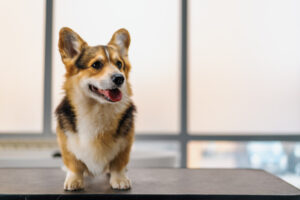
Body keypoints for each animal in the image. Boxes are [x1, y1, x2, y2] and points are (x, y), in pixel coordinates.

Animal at [55, 27, 136, 191]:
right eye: (96, 65)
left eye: (119, 64)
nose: (120, 78)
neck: (97, 108)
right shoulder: (66, 142)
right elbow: (74, 164)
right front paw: (74, 180)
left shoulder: (125, 143)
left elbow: (118, 164)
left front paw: (120, 180)